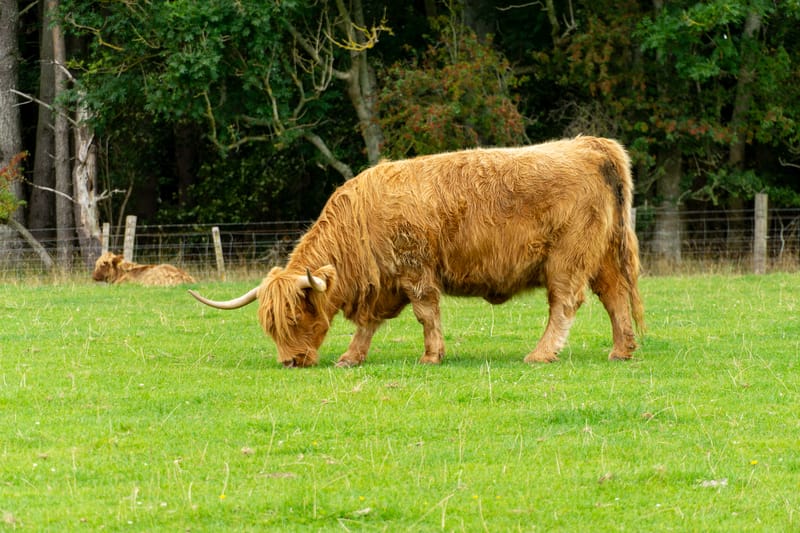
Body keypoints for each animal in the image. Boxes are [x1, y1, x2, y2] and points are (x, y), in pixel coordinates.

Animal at [189, 136, 644, 367]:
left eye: (297, 316)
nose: (289, 361)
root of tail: (590, 144)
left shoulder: (414, 269)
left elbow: (427, 313)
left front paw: (431, 355)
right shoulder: (383, 282)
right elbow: (368, 324)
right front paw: (351, 358)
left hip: (568, 256)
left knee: (564, 301)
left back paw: (541, 353)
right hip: (603, 255)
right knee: (614, 296)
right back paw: (621, 349)